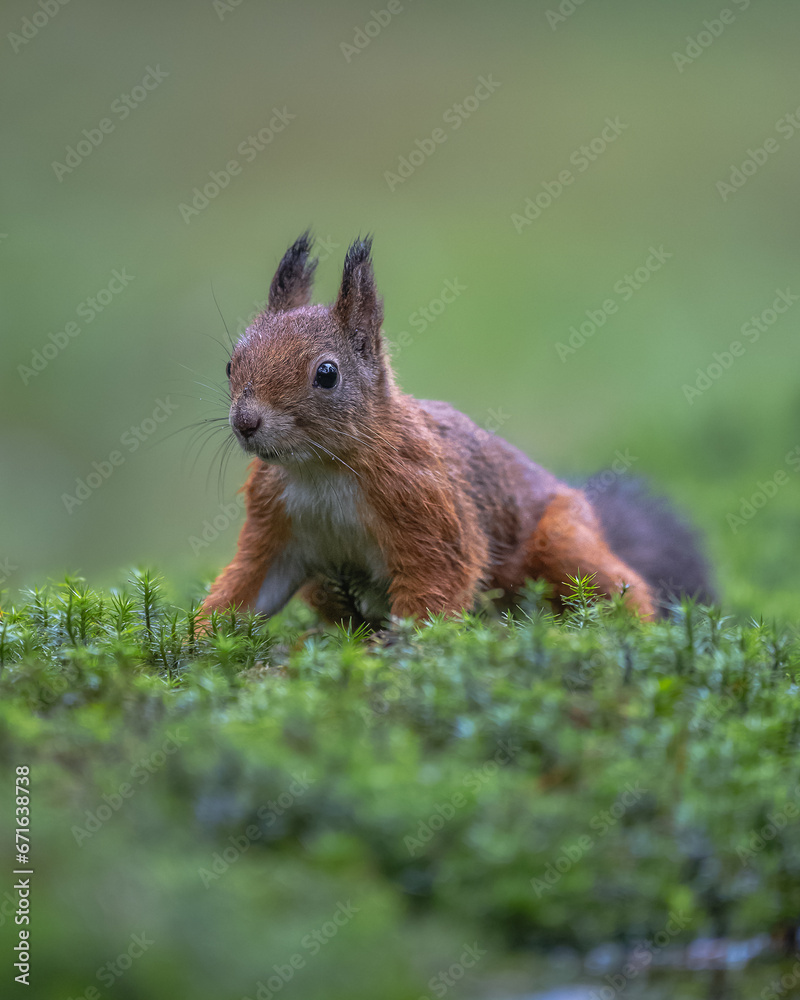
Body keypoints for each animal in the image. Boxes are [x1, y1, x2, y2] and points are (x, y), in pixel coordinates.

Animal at [200, 230, 712, 628]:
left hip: (560, 541)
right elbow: (246, 585)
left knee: (618, 586)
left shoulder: (426, 505)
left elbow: (438, 581)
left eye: (327, 374)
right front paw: (199, 641)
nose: (246, 423)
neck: (321, 470)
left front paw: (400, 647)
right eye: (230, 364)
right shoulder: (274, 526)